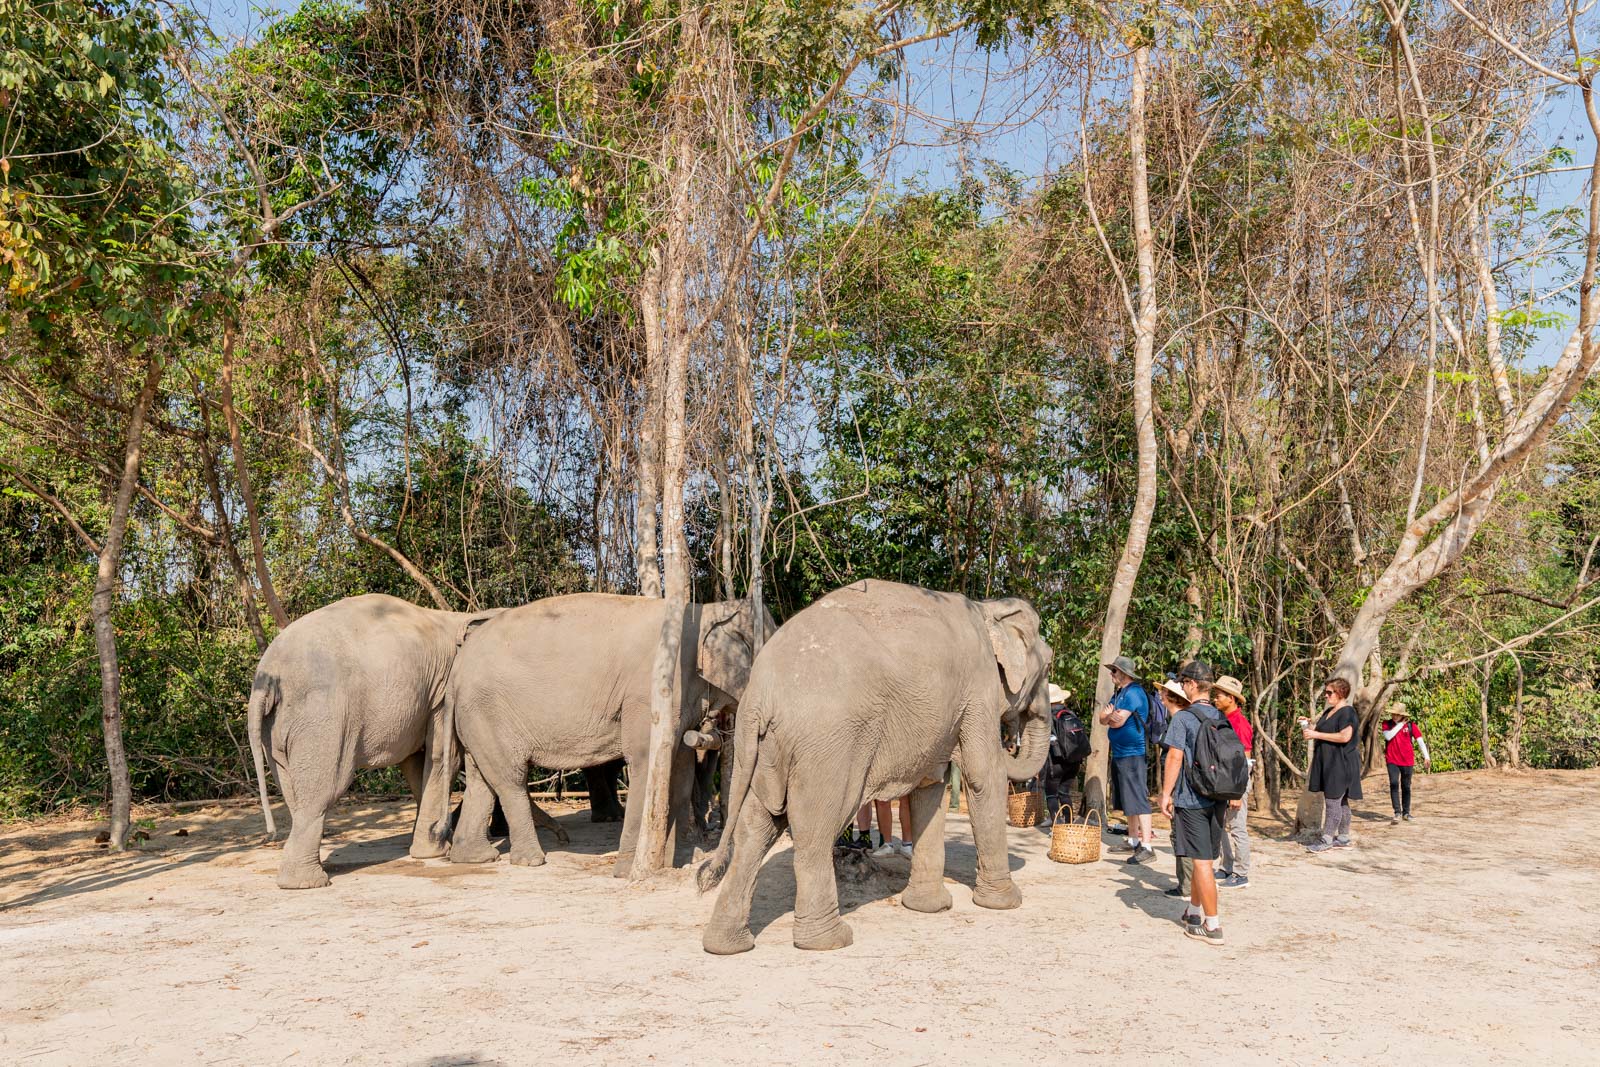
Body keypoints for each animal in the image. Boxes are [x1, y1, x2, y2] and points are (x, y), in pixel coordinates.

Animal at [246, 598, 505, 889]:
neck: (462, 617)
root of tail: (266, 678)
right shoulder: (442, 690)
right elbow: (441, 756)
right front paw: (435, 851)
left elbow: (414, 763)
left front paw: (430, 843)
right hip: (323, 719)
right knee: (324, 789)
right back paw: (307, 882)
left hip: (275, 728)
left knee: (292, 791)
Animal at [444, 591, 768, 876]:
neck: (709, 609)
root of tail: (456, 668)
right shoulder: (649, 694)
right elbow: (646, 761)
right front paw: (628, 872)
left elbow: (680, 767)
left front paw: (679, 860)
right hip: (487, 710)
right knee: (510, 779)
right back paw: (531, 861)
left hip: (479, 717)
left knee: (482, 780)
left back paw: (475, 857)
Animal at [697, 579, 1049, 953]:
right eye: (1047, 668)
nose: (1012, 738)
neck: (988, 608)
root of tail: (757, 697)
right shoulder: (978, 688)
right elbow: (984, 775)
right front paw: (1006, 902)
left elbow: (930, 787)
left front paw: (928, 908)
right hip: (827, 746)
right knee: (815, 829)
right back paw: (831, 940)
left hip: (766, 750)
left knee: (756, 826)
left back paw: (726, 944)